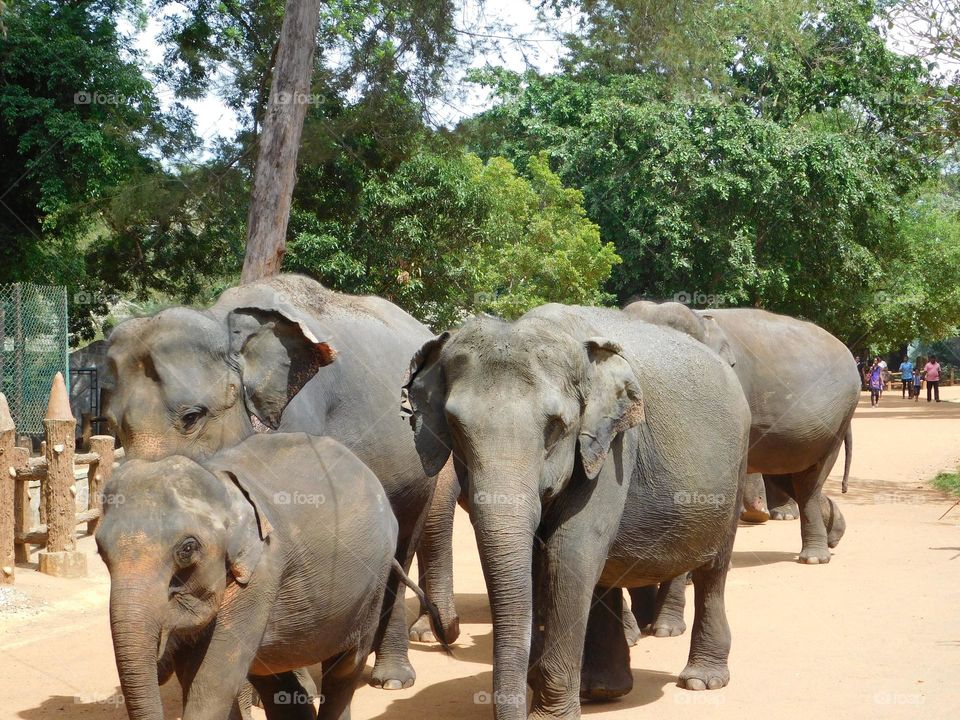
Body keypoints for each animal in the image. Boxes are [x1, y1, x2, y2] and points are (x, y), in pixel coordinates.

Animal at [96, 432, 443, 720]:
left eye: (187, 549)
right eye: (100, 551)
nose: (160, 652)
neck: (217, 479)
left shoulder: (260, 575)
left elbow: (212, 683)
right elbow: (196, 675)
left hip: (372, 582)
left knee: (345, 667)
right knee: (275, 678)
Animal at [102, 274, 458, 691]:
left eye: (192, 417)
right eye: (113, 425)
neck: (223, 320)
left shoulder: (301, 418)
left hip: (423, 462)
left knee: (403, 543)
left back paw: (392, 679)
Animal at [401, 304, 751, 720]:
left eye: (556, 427)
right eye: (455, 426)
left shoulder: (615, 445)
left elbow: (569, 553)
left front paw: (549, 715)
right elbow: (539, 560)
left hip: (737, 465)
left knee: (713, 570)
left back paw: (701, 680)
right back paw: (603, 689)